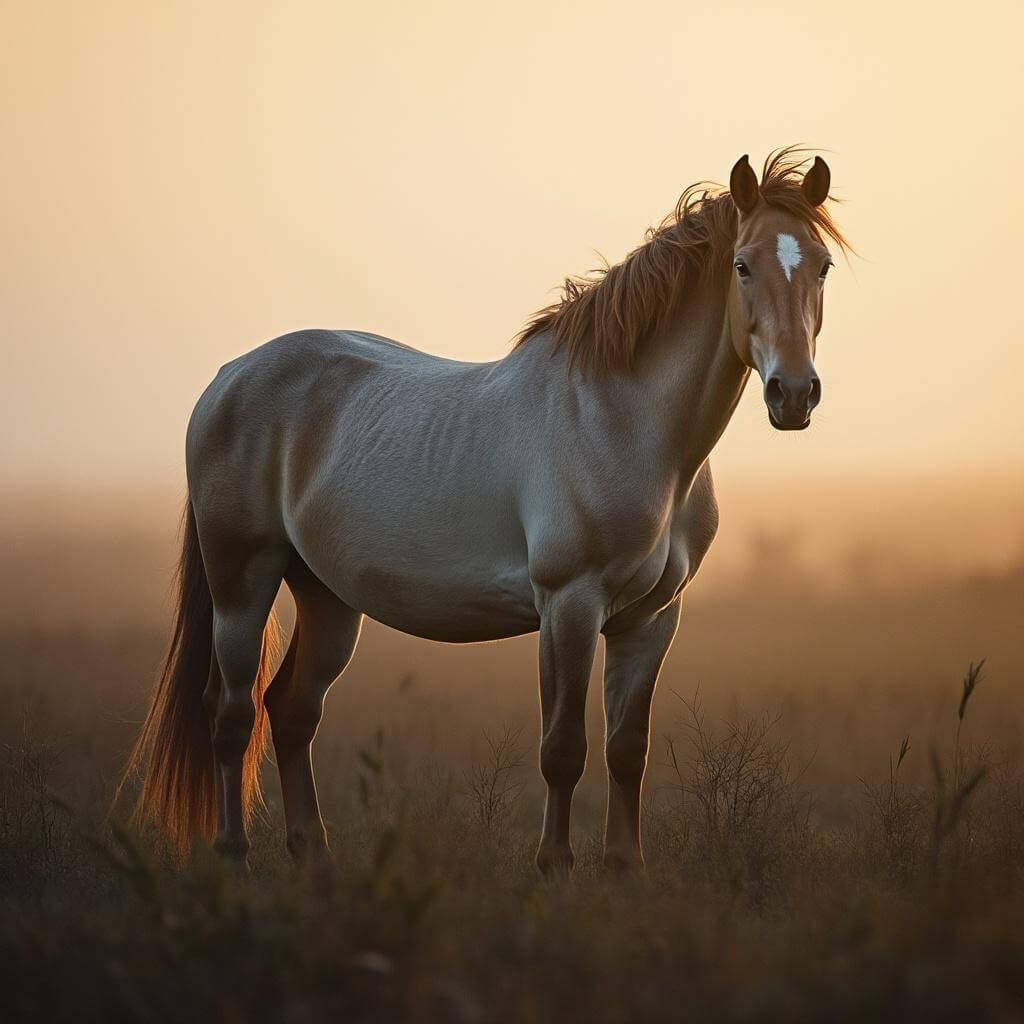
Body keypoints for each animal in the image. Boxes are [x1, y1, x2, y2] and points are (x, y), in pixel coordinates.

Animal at [122, 148, 848, 876]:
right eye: (742, 264)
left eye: (822, 265)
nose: (793, 395)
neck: (627, 425)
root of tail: (228, 378)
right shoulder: (569, 605)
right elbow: (563, 749)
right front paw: (554, 868)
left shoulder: (651, 619)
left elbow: (626, 750)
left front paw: (623, 872)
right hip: (242, 583)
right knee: (231, 715)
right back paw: (233, 860)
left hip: (326, 596)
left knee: (291, 711)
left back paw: (316, 862)